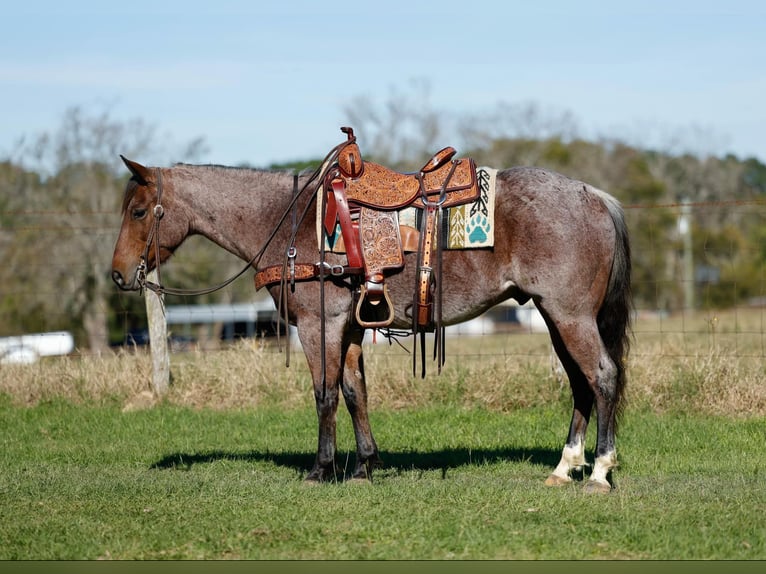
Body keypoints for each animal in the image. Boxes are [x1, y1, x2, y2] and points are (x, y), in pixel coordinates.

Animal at [111, 142, 632, 494]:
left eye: (139, 211)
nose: (118, 274)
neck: (289, 220)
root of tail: (596, 196)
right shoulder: (351, 327)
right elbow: (354, 392)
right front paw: (364, 465)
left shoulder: (320, 325)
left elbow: (324, 394)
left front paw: (321, 469)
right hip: (556, 316)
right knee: (581, 384)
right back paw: (564, 467)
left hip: (570, 316)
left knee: (603, 376)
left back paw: (600, 472)